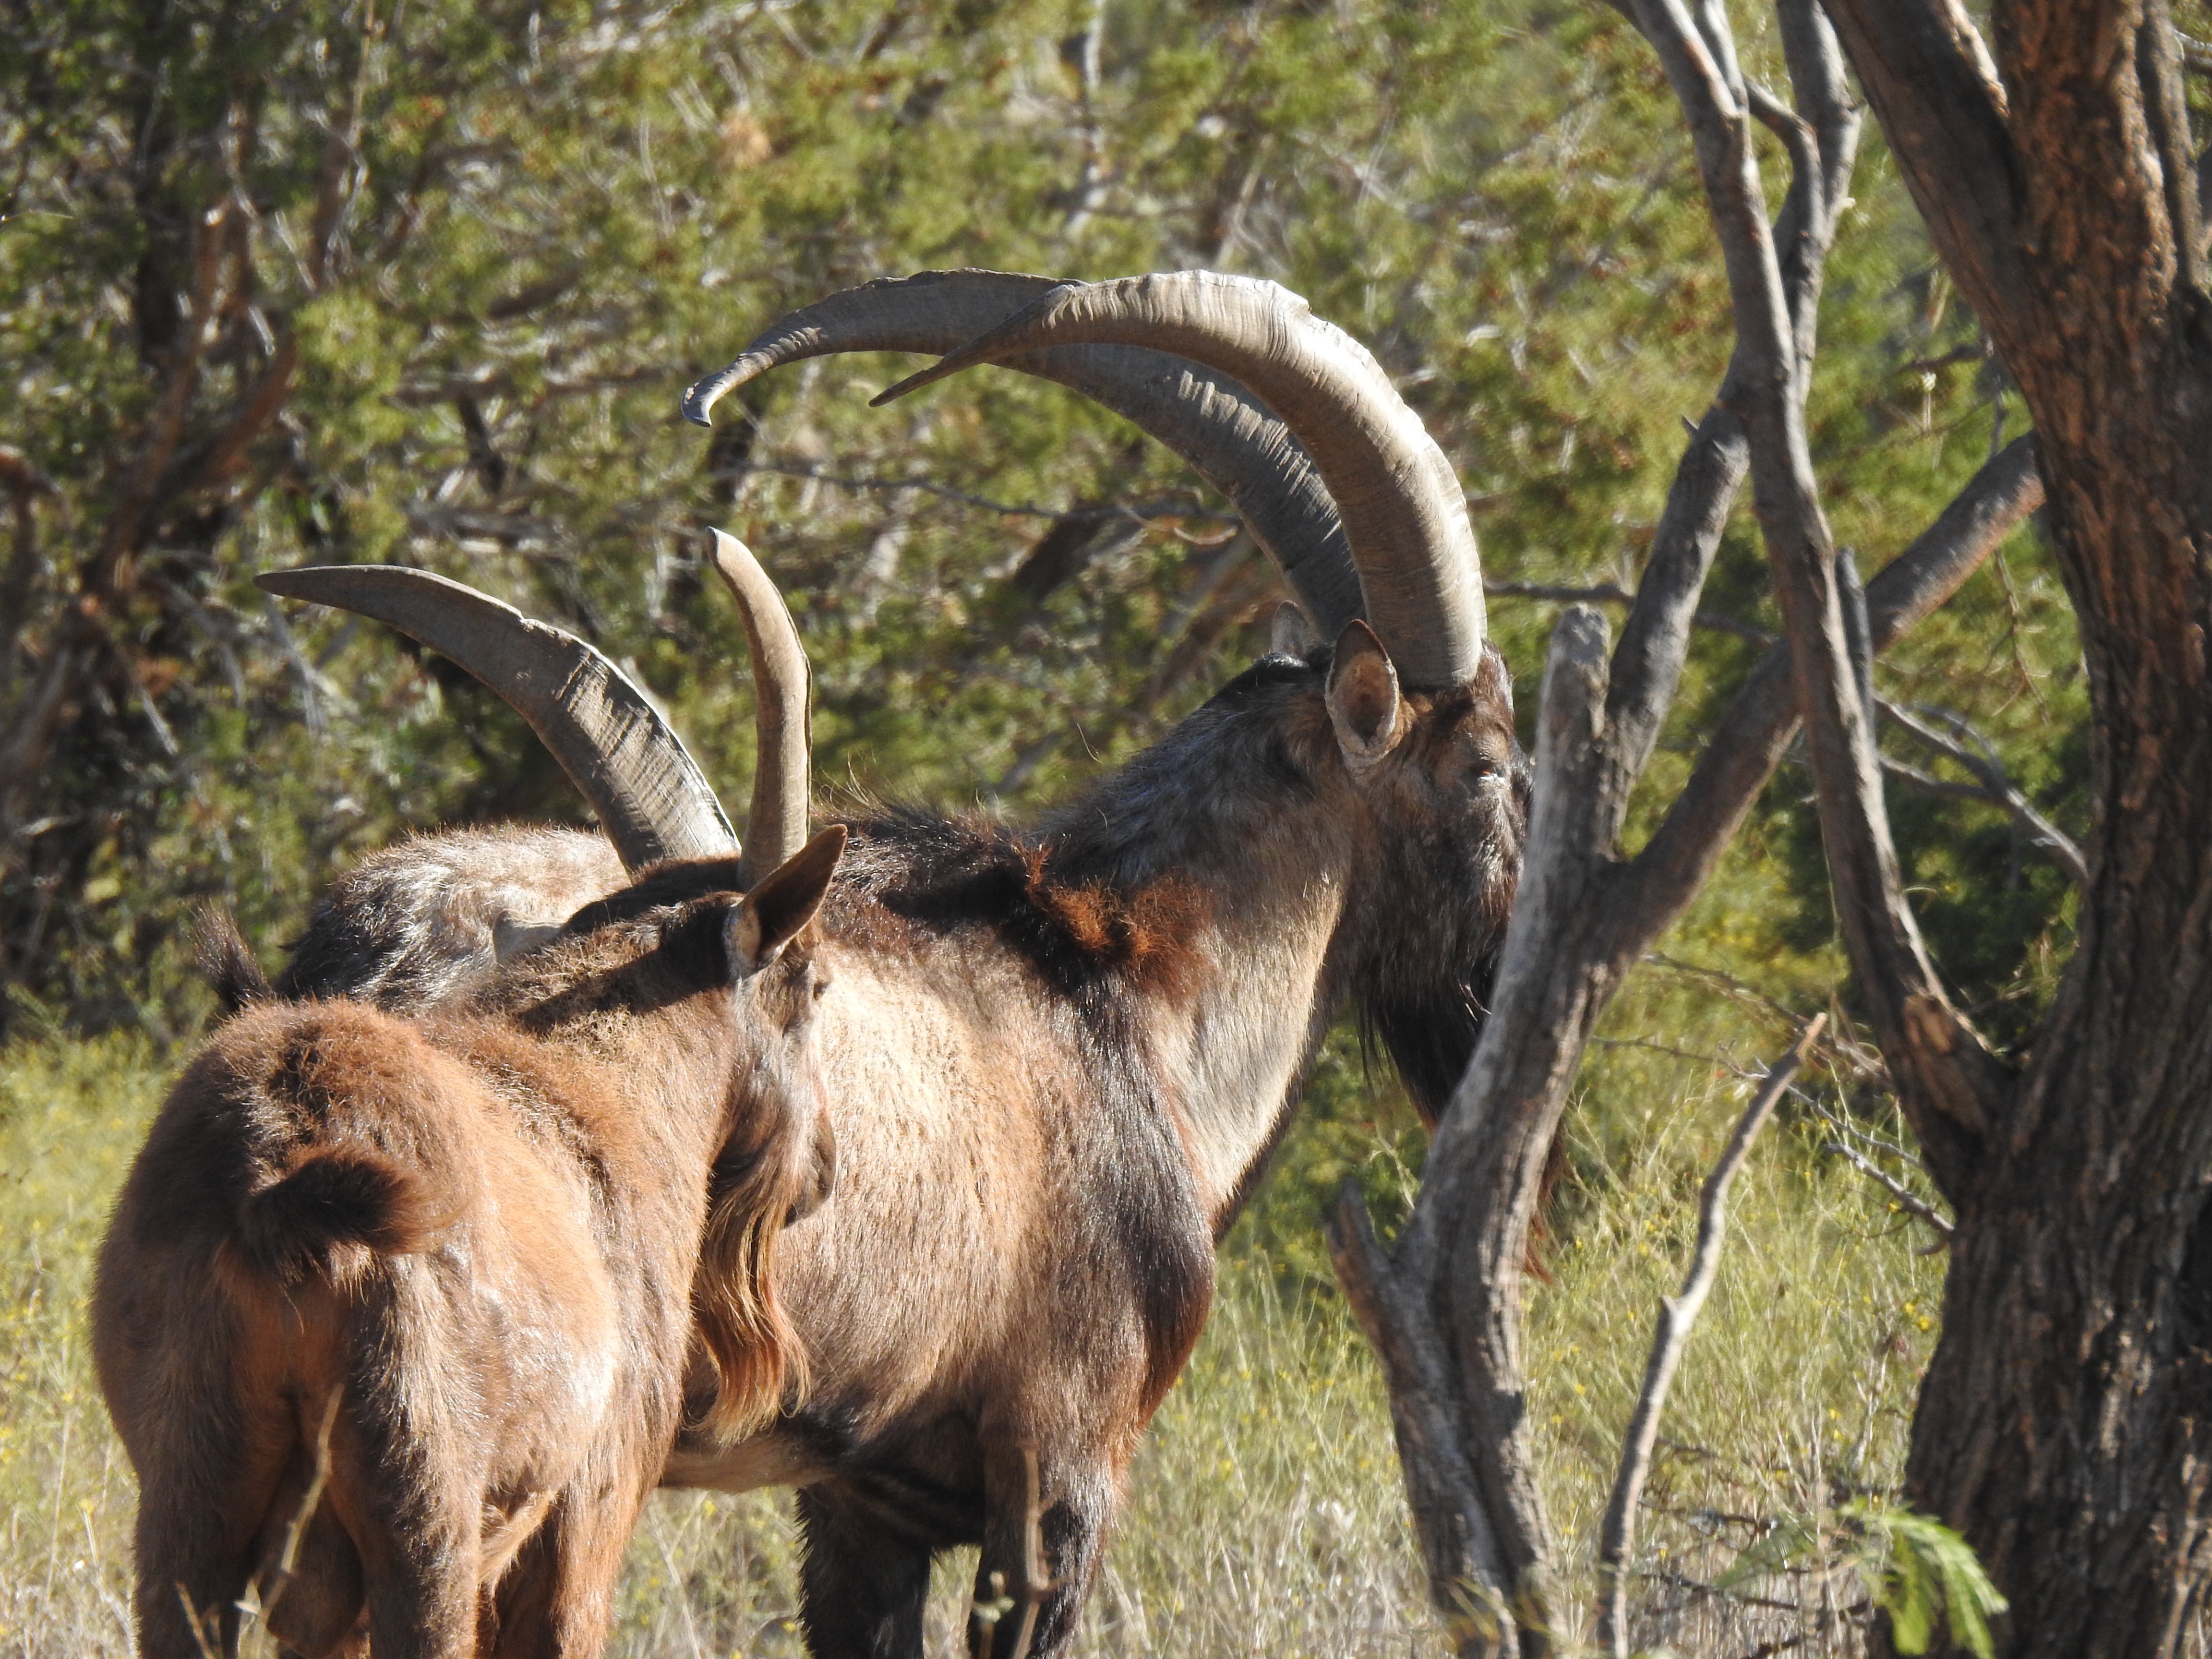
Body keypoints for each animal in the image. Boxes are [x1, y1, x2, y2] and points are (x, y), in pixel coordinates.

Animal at [93, 831, 845, 1659]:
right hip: (424, 1499)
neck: (617, 1094)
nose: (824, 1167)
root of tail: (281, 1182)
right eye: (816, 984)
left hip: (192, 1500)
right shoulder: (591, 1506)